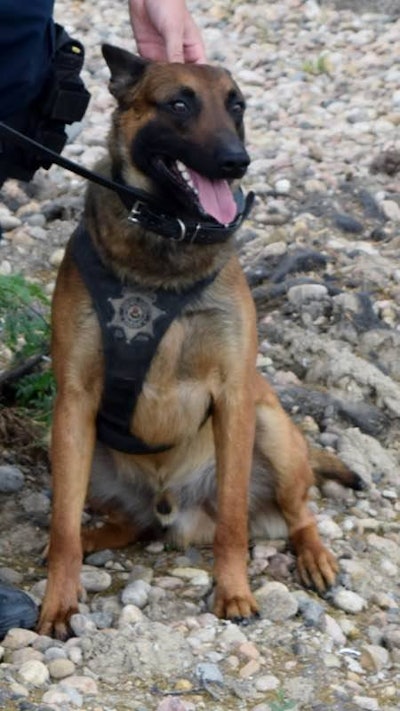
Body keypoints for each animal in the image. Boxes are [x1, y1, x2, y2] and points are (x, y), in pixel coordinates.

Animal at [38, 48, 362, 640]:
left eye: (237, 106)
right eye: (180, 104)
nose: (238, 162)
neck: (166, 241)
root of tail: (174, 507)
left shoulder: (233, 397)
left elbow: (234, 518)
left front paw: (233, 592)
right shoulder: (73, 401)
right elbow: (63, 523)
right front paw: (60, 600)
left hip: (271, 426)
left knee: (300, 512)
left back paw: (315, 557)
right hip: (82, 454)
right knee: (126, 524)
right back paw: (91, 539)